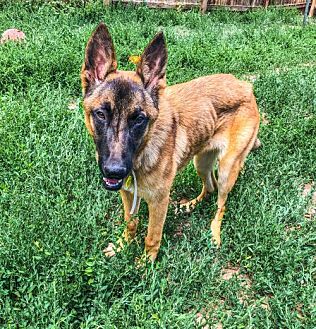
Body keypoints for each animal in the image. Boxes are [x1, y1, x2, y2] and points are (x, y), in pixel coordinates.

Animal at [82, 22, 262, 262]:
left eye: (139, 119)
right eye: (101, 114)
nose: (115, 171)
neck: (142, 152)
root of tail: (244, 85)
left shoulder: (158, 202)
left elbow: (152, 236)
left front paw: (146, 264)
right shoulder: (128, 193)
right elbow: (130, 223)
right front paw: (123, 246)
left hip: (227, 169)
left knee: (220, 204)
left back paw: (214, 234)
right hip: (200, 162)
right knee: (210, 187)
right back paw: (190, 205)